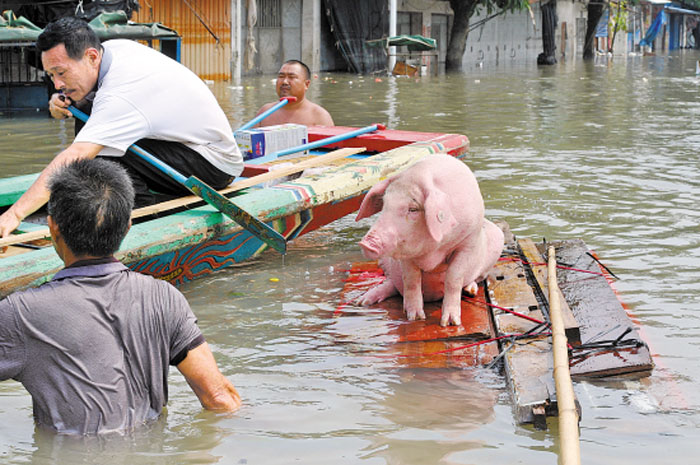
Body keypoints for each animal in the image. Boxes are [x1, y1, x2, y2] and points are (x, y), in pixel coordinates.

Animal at [356, 153, 504, 326]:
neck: (433, 252)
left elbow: (454, 278)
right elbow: (411, 280)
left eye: (413, 209)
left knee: (476, 277)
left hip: (497, 242)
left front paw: (450, 323)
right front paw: (414, 318)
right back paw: (362, 301)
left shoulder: (468, 242)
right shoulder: (405, 252)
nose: (366, 243)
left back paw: (470, 291)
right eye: (385, 204)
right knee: (393, 284)